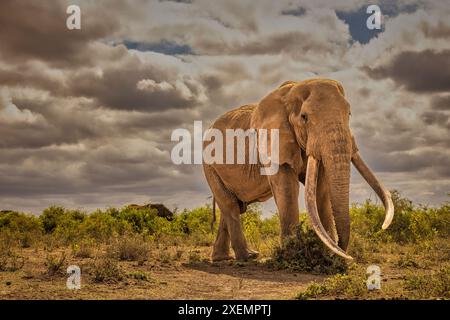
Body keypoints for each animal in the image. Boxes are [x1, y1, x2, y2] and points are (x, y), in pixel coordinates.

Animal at [204, 79, 394, 262]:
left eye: (349, 114)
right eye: (304, 117)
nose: (343, 252)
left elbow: (321, 189)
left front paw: (327, 253)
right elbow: (287, 188)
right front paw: (291, 254)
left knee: (234, 205)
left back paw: (230, 257)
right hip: (209, 166)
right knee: (229, 204)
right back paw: (245, 257)